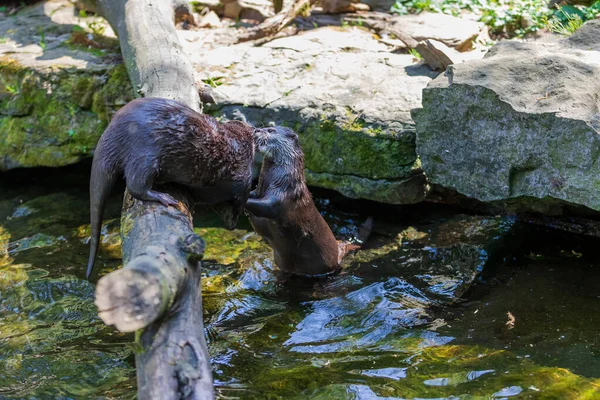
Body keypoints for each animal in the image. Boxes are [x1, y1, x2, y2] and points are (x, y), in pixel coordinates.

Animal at [86, 97, 253, 278]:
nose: (232, 226)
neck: (237, 144)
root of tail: (112, 132)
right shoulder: (242, 176)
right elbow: (238, 197)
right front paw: (233, 217)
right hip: (145, 156)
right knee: (135, 185)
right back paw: (163, 197)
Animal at [244, 126, 370, 276]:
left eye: (271, 130)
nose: (256, 130)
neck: (282, 179)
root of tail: (338, 253)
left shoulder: (282, 195)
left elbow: (266, 207)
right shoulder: (259, 190)